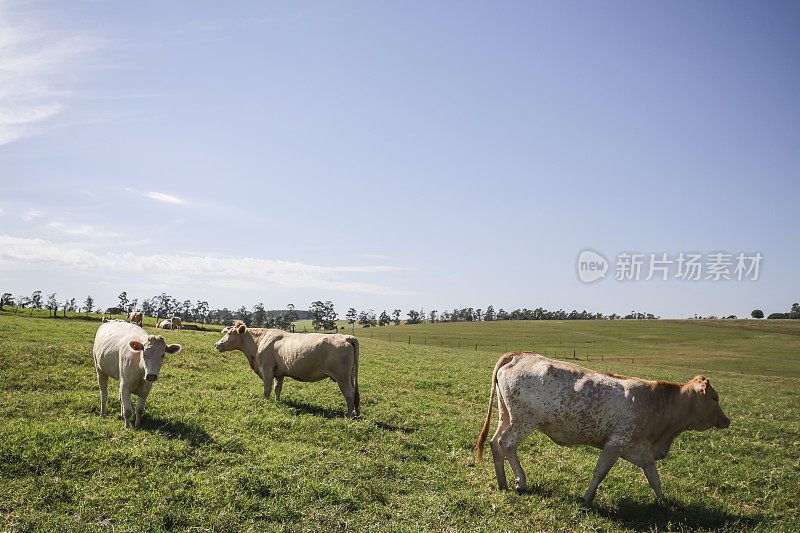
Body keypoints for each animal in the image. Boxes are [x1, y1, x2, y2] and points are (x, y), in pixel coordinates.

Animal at [214, 322, 360, 418]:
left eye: (229, 333)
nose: (217, 344)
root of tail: (347, 337)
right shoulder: (279, 373)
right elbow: (277, 388)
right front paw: (277, 402)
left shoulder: (266, 370)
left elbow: (267, 389)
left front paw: (266, 402)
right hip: (349, 377)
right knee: (354, 393)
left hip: (342, 377)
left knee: (349, 394)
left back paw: (349, 415)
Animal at [476, 354, 732, 502]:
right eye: (715, 398)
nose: (727, 420)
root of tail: (520, 356)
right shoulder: (616, 443)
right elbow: (600, 472)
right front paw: (587, 498)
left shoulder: (644, 450)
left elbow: (654, 480)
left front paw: (664, 504)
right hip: (524, 421)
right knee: (507, 444)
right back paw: (521, 482)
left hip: (506, 415)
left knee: (495, 443)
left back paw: (502, 483)